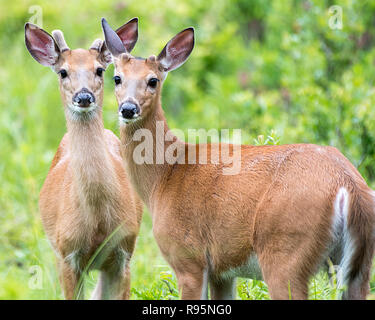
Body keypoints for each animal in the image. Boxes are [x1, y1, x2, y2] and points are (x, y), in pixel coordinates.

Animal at [24, 19, 143, 300]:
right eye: (63, 72)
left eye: (100, 70)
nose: (84, 96)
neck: (97, 221)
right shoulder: (67, 254)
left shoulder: (124, 252)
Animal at [101, 19, 375, 300]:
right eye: (117, 77)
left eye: (153, 80)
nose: (128, 108)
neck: (165, 175)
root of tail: (348, 186)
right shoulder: (222, 272)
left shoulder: (188, 256)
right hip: (358, 265)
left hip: (286, 252)